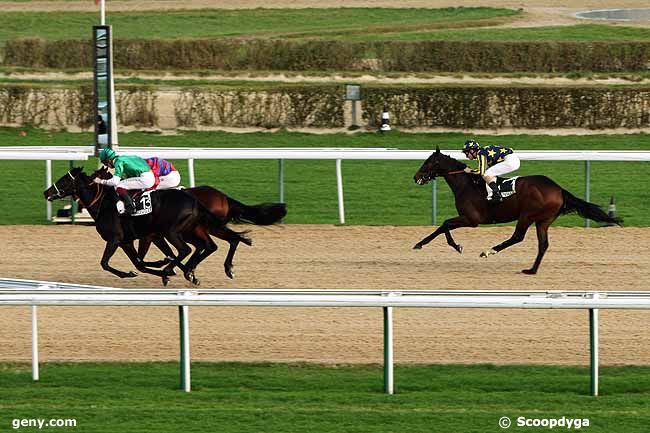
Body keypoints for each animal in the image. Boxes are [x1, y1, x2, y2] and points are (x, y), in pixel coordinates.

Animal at [43, 168, 246, 284]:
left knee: (188, 249)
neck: (104, 203)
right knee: (208, 246)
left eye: (64, 180)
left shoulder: (117, 239)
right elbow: (140, 263)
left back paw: (172, 271)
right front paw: (175, 269)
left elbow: (106, 263)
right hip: (190, 230)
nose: (46, 192)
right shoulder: (128, 240)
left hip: (175, 231)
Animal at [412, 145, 620, 274]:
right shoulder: (467, 218)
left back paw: (489, 251)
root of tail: (559, 189)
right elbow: (442, 226)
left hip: (527, 215)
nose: (415, 177)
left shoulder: (472, 219)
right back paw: (531, 270)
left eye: (427, 162)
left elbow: (445, 224)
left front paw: (456, 246)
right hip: (543, 221)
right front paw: (421, 244)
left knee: (518, 237)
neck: (466, 184)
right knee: (543, 244)